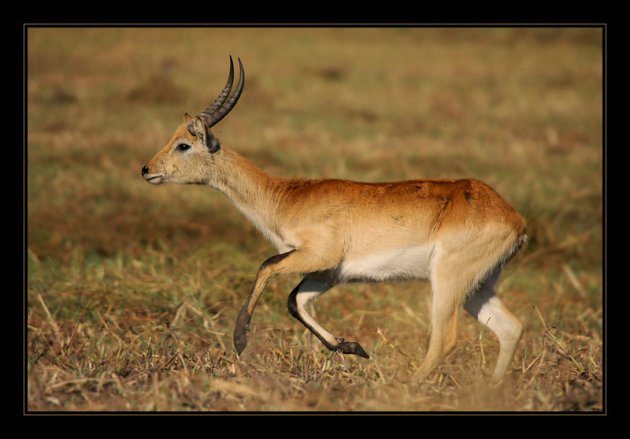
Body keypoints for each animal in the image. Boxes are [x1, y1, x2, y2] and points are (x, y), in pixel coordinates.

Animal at [142, 56, 528, 384]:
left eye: (183, 144)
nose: (146, 169)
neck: (287, 197)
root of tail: (514, 218)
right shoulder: (328, 272)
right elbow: (295, 301)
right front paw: (352, 347)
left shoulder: (317, 255)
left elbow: (267, 266)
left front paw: (239, 341)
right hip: (477, 286)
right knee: (510, 328)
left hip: (448, 280)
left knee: (445, 339)